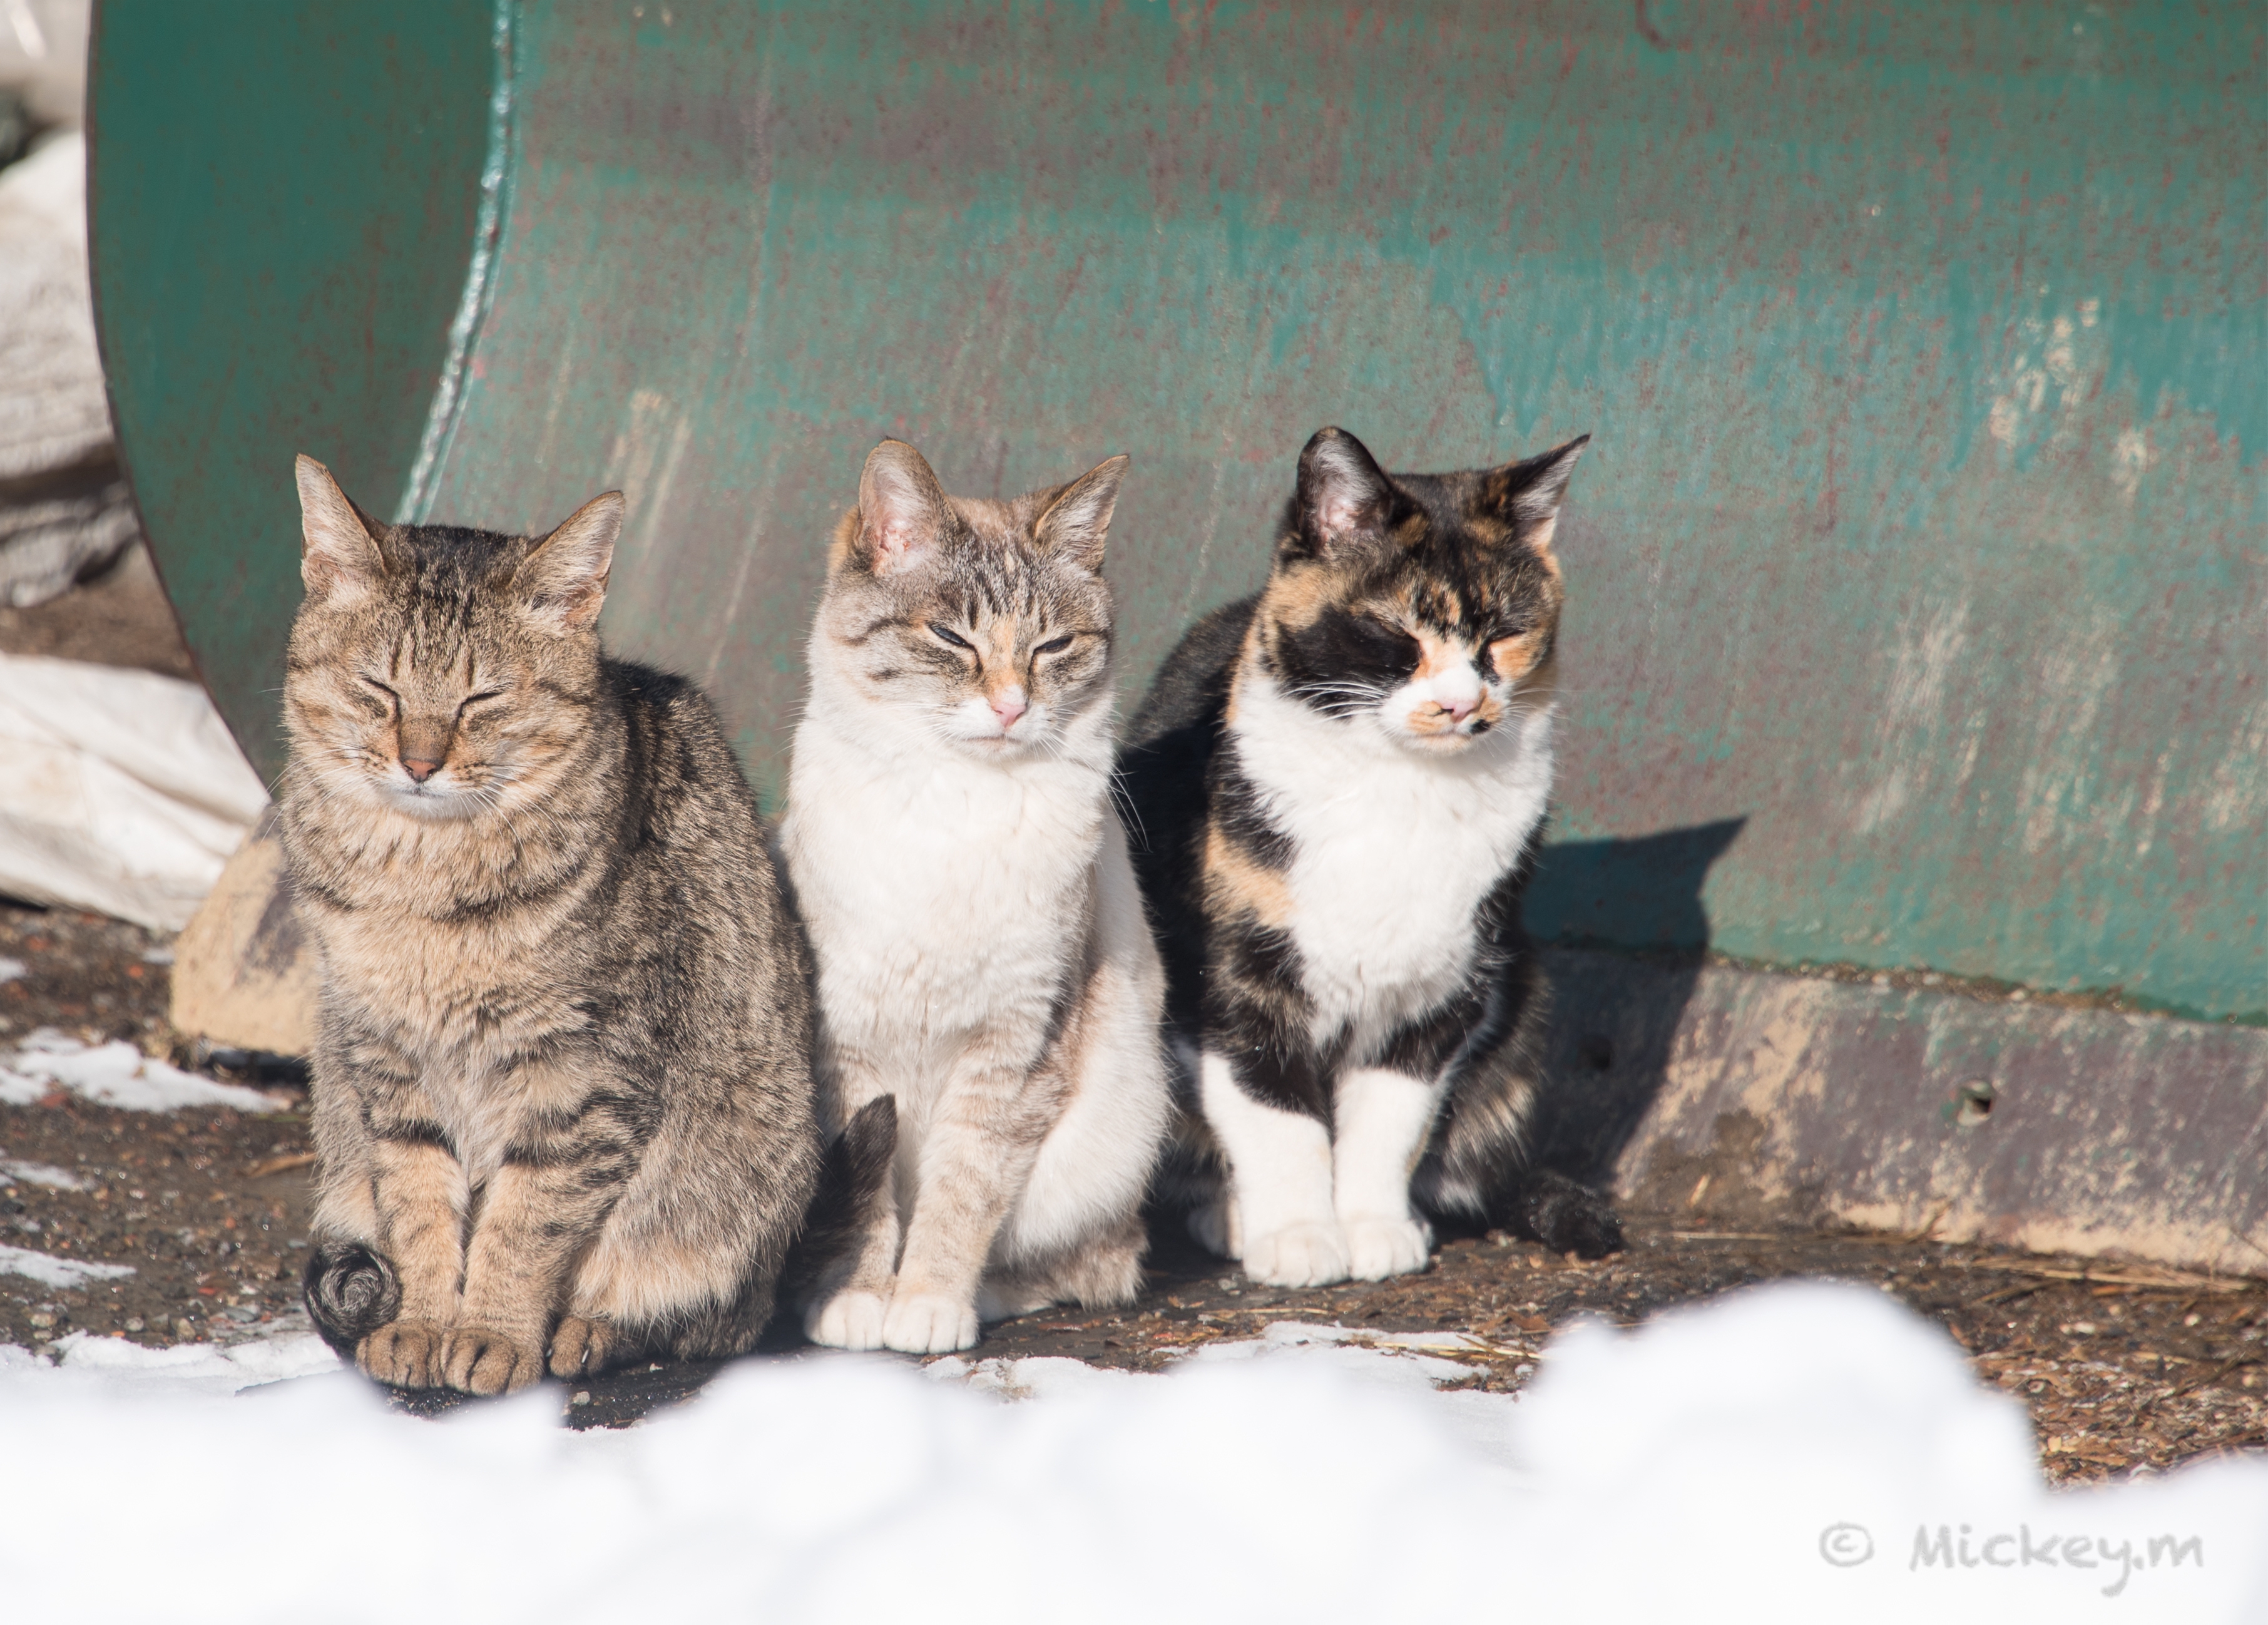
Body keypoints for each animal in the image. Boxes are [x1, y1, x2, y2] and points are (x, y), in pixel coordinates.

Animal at [281, 456, 844, 1398]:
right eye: (379, 690)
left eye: (482, 699)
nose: (419, 762)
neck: (424, 881)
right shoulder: (386, 1059)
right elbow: (420, 1204)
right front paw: (423, 1323)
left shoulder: (583, 1073)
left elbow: (524, 1221)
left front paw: (493, 1335)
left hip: (742, 1184)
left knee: (710, 1319)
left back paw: (589, 1329)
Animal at [780, 438, 1170, 1352]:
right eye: (951, 637)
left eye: (1053, 645)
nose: (1010, 707)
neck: (953, 802)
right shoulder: (847, 1042)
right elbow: (868, 1204)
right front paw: (858, 1299)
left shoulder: (1014, 1046)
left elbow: (963, 1191)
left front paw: (926, 1304)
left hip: (1111, 1131)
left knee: (1096, 1262)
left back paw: (987, 1294)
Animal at [1120, 424, 1623, 1289]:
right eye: (1399, 634)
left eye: (1503, 635)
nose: (1460, 702)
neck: (1399, 789)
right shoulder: (1232, 975)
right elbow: (1271, 1109)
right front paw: (1297, 1236)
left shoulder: (1444, 984)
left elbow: (1392, 1116)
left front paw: (1372, 1229)